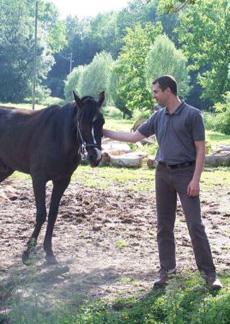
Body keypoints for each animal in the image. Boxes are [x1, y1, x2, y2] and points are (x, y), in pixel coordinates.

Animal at [0, 92, 104, 264]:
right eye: (81, 121)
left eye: (102, 121)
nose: (94, 156)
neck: (59, 137)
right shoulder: (38, 179)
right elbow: (41, 214)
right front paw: (27, 252)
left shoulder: (62, 181)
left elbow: (53, 214)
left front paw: (49, 252)